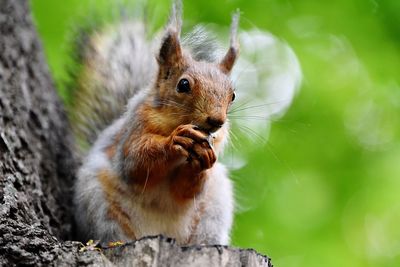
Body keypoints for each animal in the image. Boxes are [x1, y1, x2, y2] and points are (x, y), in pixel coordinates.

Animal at [71, 0, 239, 247]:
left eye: (233, 95)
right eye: (183, 85)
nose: (216, 120)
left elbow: (186, 190)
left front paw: (202, 160)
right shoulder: (134, 129)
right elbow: (137, 163)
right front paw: (175, 140)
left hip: (213, 209)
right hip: (99, 203)